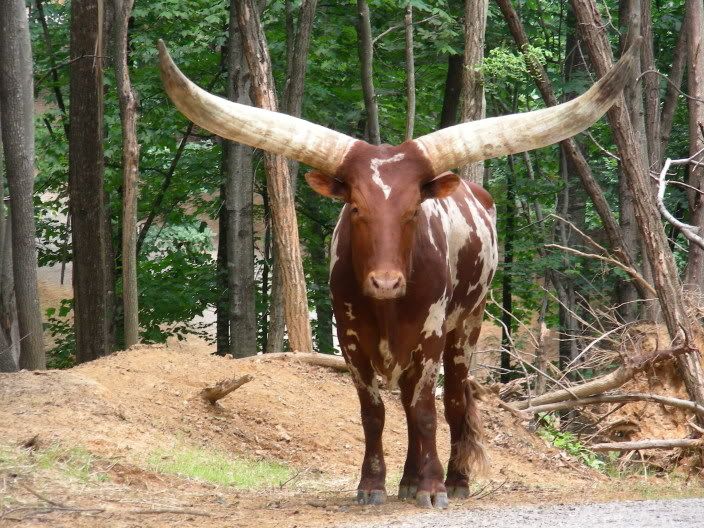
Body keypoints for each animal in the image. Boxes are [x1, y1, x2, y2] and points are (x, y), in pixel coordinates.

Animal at [158, 40, 638, 509]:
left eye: (412, 211)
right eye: (355, 208)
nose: (386, 283)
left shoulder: (429, 336)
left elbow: (425, 410)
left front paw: (432, 486)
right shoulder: (350, 339)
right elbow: (374, 413)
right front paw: (373, 485)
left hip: (468, 324)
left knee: (453, 401)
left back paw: (454, 480)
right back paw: (408, 479)